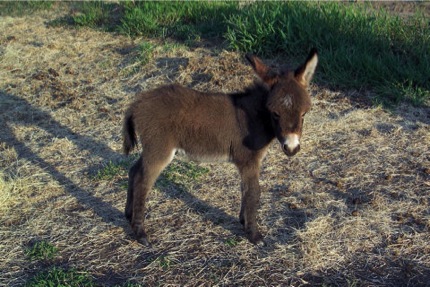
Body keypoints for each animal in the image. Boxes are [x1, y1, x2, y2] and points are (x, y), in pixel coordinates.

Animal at [122, 49, 318, 245]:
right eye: (275, 113)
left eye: (304, 114)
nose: (291, 148)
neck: (254, 117)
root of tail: (137, 103)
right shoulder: (248, 160)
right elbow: (253, 192)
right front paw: (254, 235)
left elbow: (245, 190)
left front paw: (243, 221)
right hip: (159, 150)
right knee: (143, 182)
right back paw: (140, 233)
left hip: (151, 149)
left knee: (134, 171)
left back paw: (128, 215)